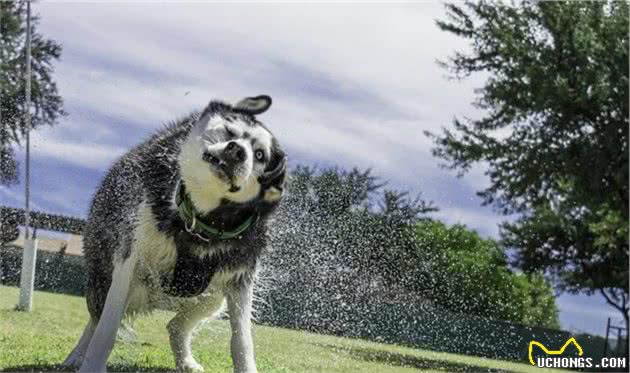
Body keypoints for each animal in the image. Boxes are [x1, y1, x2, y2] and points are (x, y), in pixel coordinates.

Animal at [63, 96, 286, 372]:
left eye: (260, 155)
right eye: (229, 131)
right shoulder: (131, 260)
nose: (236, 151)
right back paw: (75, 356)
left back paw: (186, 360)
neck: (201, 222)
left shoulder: (240, 277)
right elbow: (107, 326)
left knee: (176, 324)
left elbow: (242, 340)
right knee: (95, 319)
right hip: (103, 274)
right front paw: (92, 365)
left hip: (211, 295)